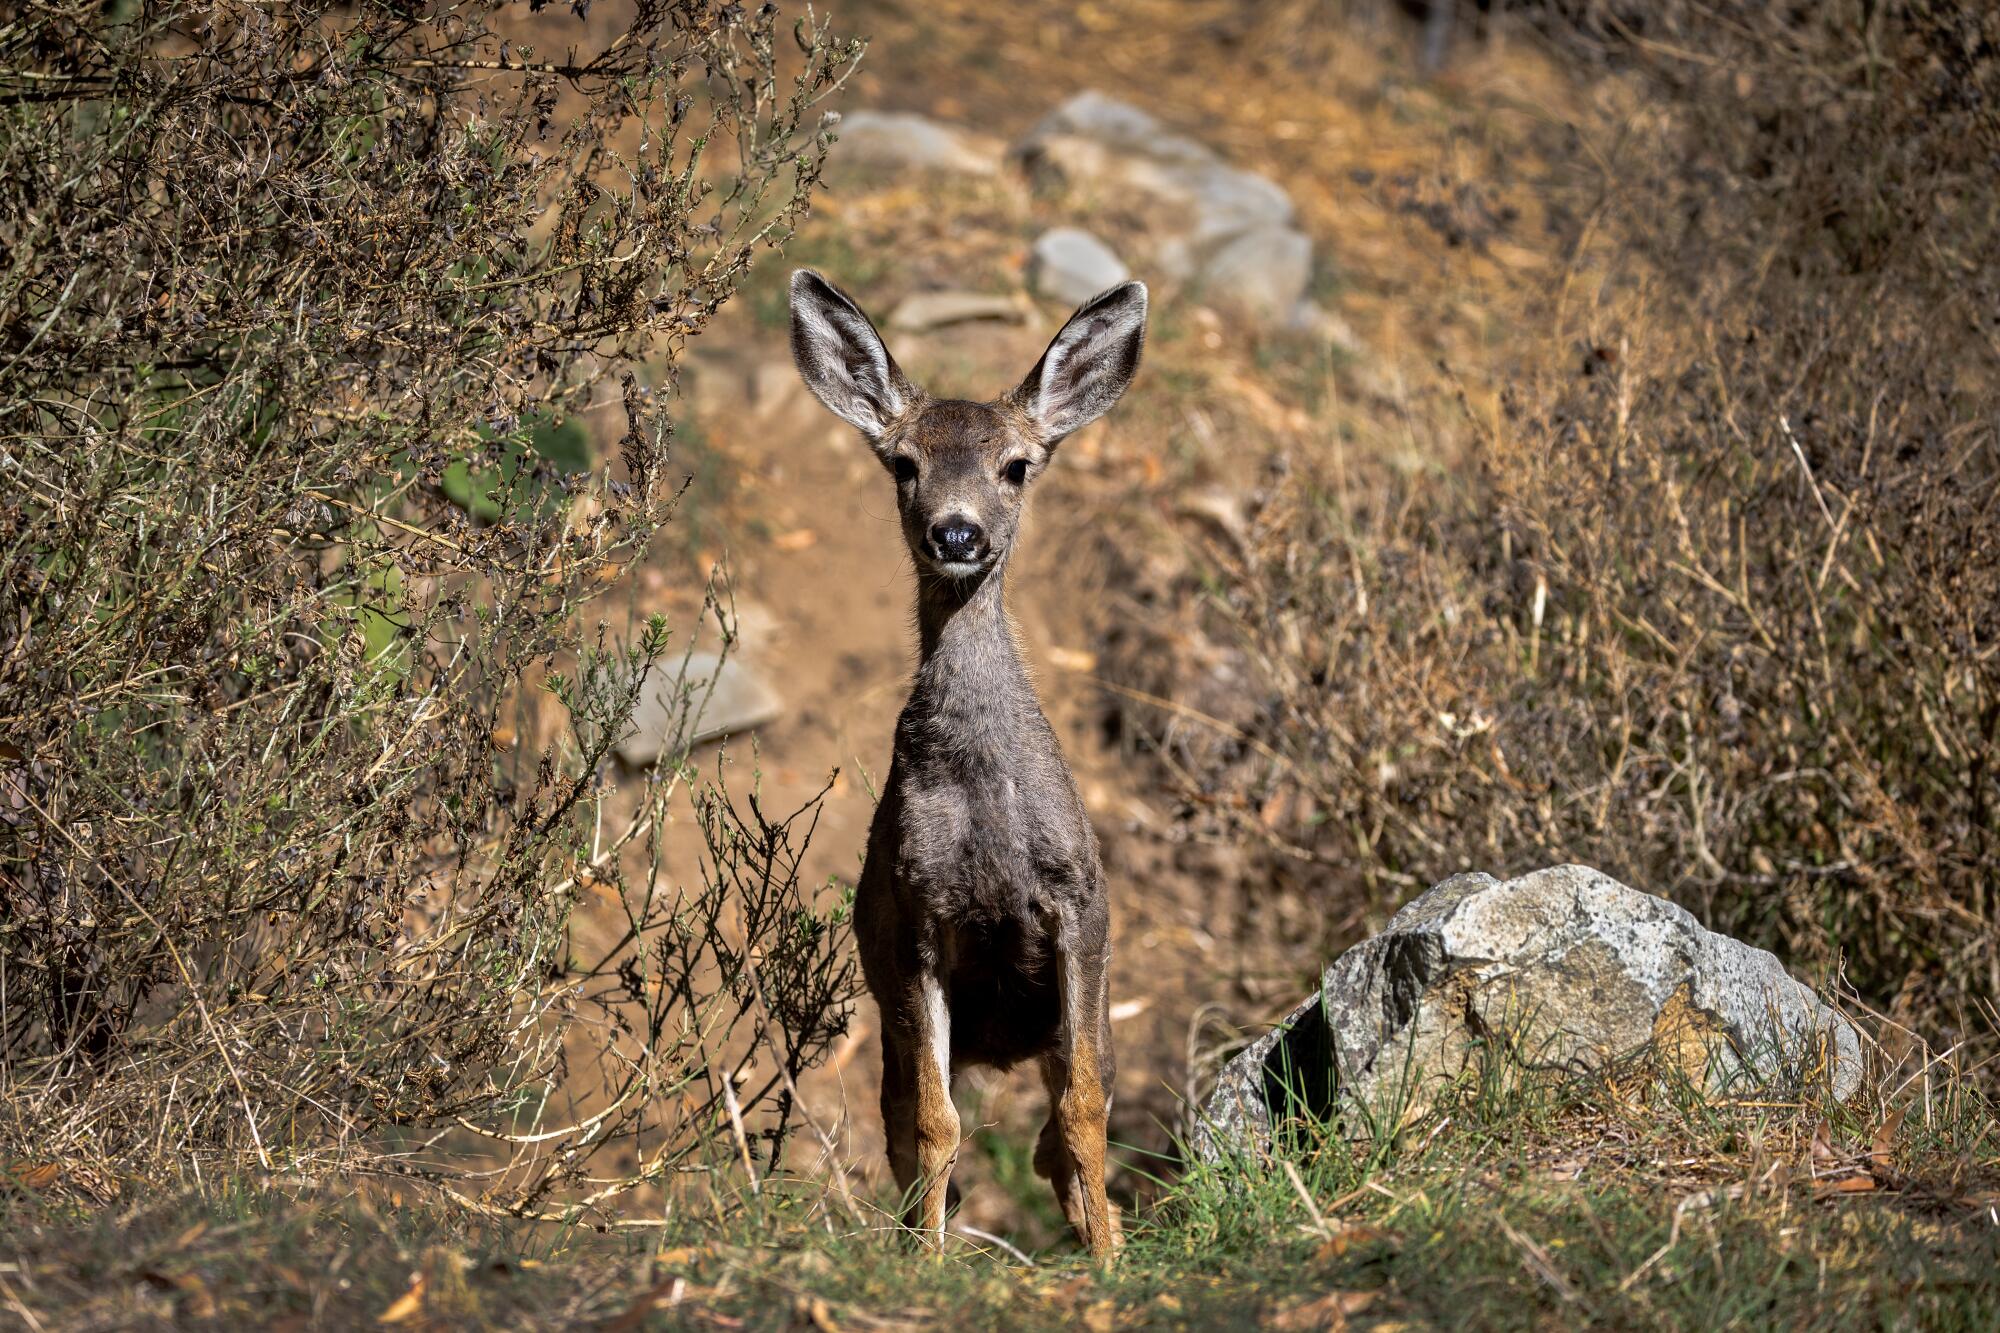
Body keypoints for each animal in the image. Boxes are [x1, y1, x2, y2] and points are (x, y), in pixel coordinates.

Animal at [788, 269, 1146, 1261]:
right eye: (903, 463)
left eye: (1017, 465)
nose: (955, 533)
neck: (986, 797)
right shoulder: (915, 917)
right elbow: (936, 1124)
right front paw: (929, 1264)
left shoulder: (1080, 903)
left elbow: (1087, 1108)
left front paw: (1111, 1262)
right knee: (906, 1126)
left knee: (1054, 1130)